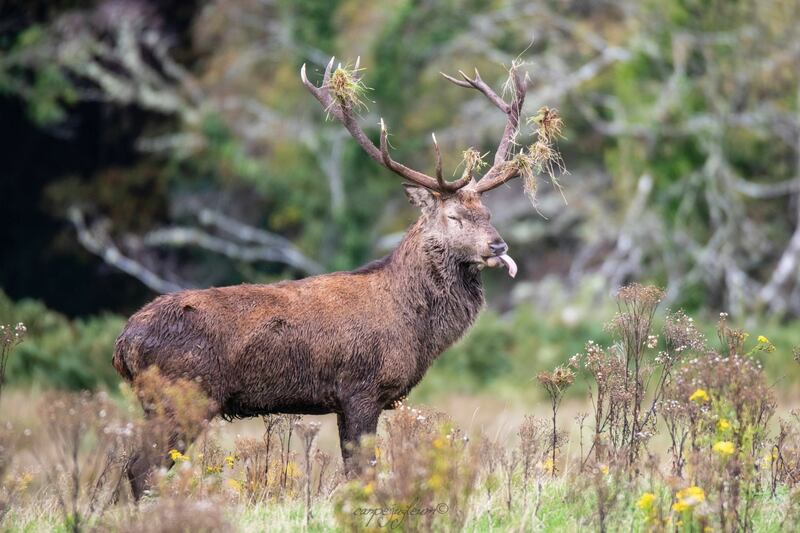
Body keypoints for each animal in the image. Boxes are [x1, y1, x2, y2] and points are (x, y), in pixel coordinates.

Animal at [114, 56, 557, 499]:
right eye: (454, 216)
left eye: (488, 213)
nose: (498, 246)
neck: (415, 327)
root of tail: (123, 344)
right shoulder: (362, 388)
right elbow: (362, 471)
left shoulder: (349, 399)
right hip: (182, 396)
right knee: (141, 468)